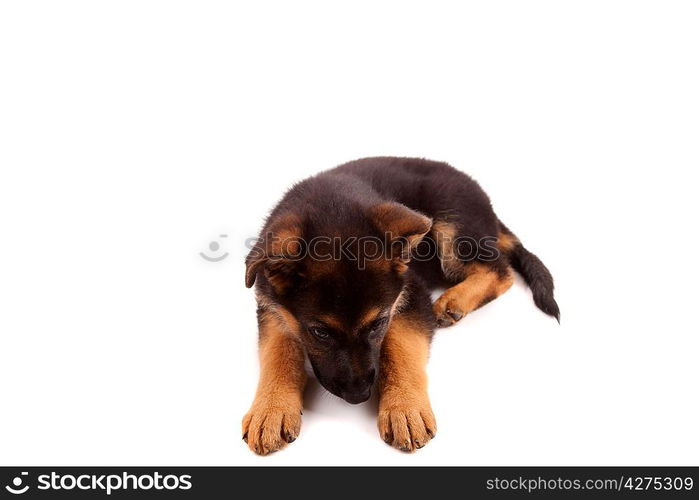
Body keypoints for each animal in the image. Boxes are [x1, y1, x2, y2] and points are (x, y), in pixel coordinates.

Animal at [243, 158, 560, 456]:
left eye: (379, 323)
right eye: (320, 333)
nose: (359, 396)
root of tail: (491, 213)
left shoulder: (412, 295)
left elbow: (401, 347)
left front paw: (404, 408)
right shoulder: (270, 306)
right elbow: (277, 353)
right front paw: (270, 409)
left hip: (450, 223)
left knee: (501, 271)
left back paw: (453, 300)